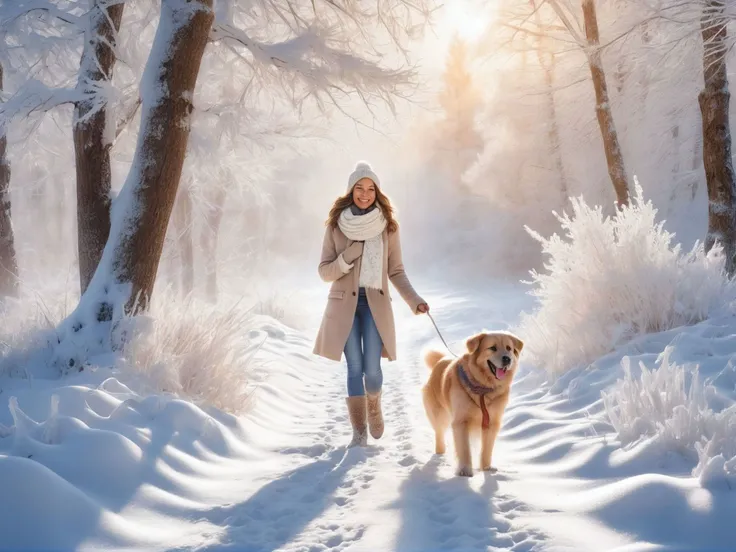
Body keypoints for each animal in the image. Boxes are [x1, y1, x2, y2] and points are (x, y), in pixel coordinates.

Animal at [420, 330, 524, 476]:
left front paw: (486, 468)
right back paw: (440, 452)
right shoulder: (461, 421)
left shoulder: (492, 422)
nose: (507, 359)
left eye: (509, 348)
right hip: (440, 414)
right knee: (439, 432)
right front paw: (464, 470)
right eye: (493, 348)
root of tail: (441, 360)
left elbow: (487, 449)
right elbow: (464, 449)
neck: (483, 387)